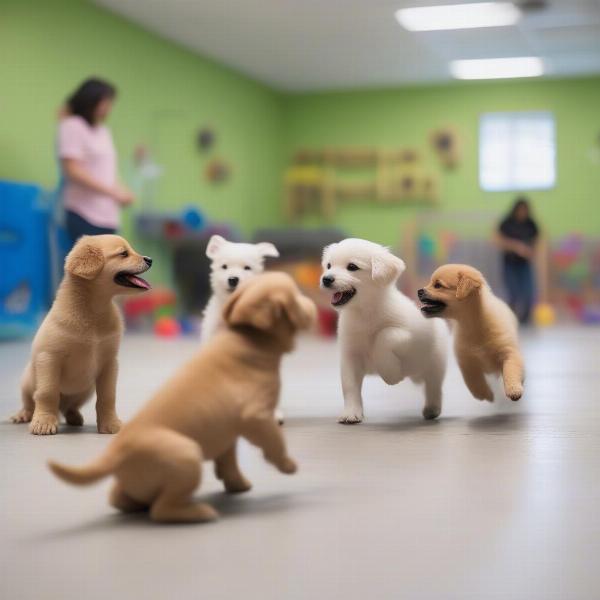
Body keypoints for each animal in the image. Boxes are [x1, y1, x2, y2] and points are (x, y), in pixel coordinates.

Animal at [10, 234, 152, 436]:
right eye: (123, 253)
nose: (150, 259)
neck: (92, 312)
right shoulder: (49, 359)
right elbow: (47, 393)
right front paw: (44, 422)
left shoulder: (109, 363)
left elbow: (108, 396)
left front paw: (110, 424)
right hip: (27, 382)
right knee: (31, 402)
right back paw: (24, 415)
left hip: (86, 389)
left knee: (70, 407)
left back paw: (74, 417)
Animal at [49, 274, 316, 524]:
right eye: (295, 296)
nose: (313, 303)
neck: (250, 338)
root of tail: (115, 455)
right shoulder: (256, 417)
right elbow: (274, 441)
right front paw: (286, 464)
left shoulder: (227, 430)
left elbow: (228, 458)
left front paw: (237, 484)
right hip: (186, 456)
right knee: (161, 509)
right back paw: (198, 512)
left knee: (121, 498)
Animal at [322, 237, 448, 424]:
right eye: (329, 265)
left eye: (352, 266)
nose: (326, 279)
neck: (365, 312)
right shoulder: (350, 355)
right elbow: (350, 386)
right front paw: (351, 412)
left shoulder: (410, 336)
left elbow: (384, 335)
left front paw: (391, 374)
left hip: (435, 361)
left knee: (434, 386)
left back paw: (432, 408)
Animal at [418, 264, 524, 400]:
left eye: (438, 285)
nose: (419, 291)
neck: (474, 324)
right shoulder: (466, 360)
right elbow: (472, 380)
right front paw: (483, 393)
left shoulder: (509, 352)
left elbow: (511, 370)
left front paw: (513, 389)